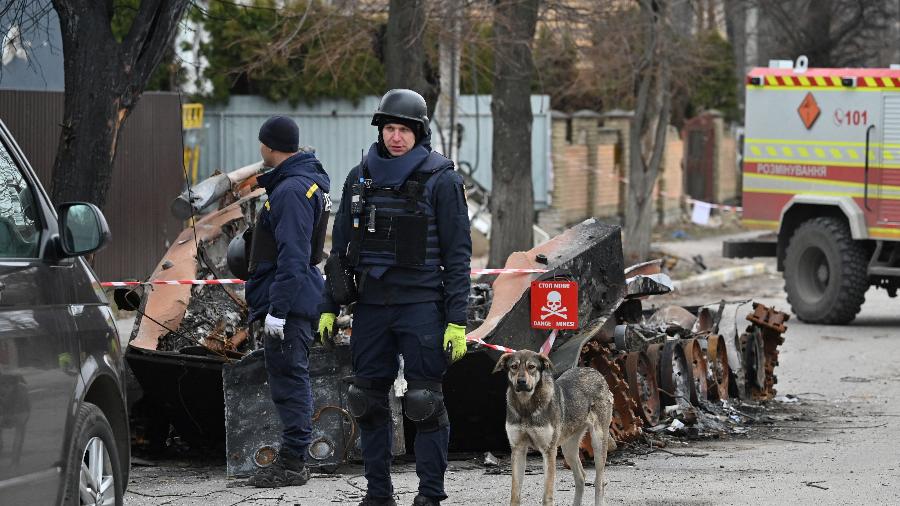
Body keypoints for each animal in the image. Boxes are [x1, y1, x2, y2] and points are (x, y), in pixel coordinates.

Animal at [496, 350, 616, 506]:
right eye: (514, 367)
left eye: (531, 367)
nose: (521, 382)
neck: (526, 406)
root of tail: (596, 373)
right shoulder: (518, 449)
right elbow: (515, 494)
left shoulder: (549, 451)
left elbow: (547, 495)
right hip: (568, 449)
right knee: (581, 476)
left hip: (598, 444)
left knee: (599, 481)